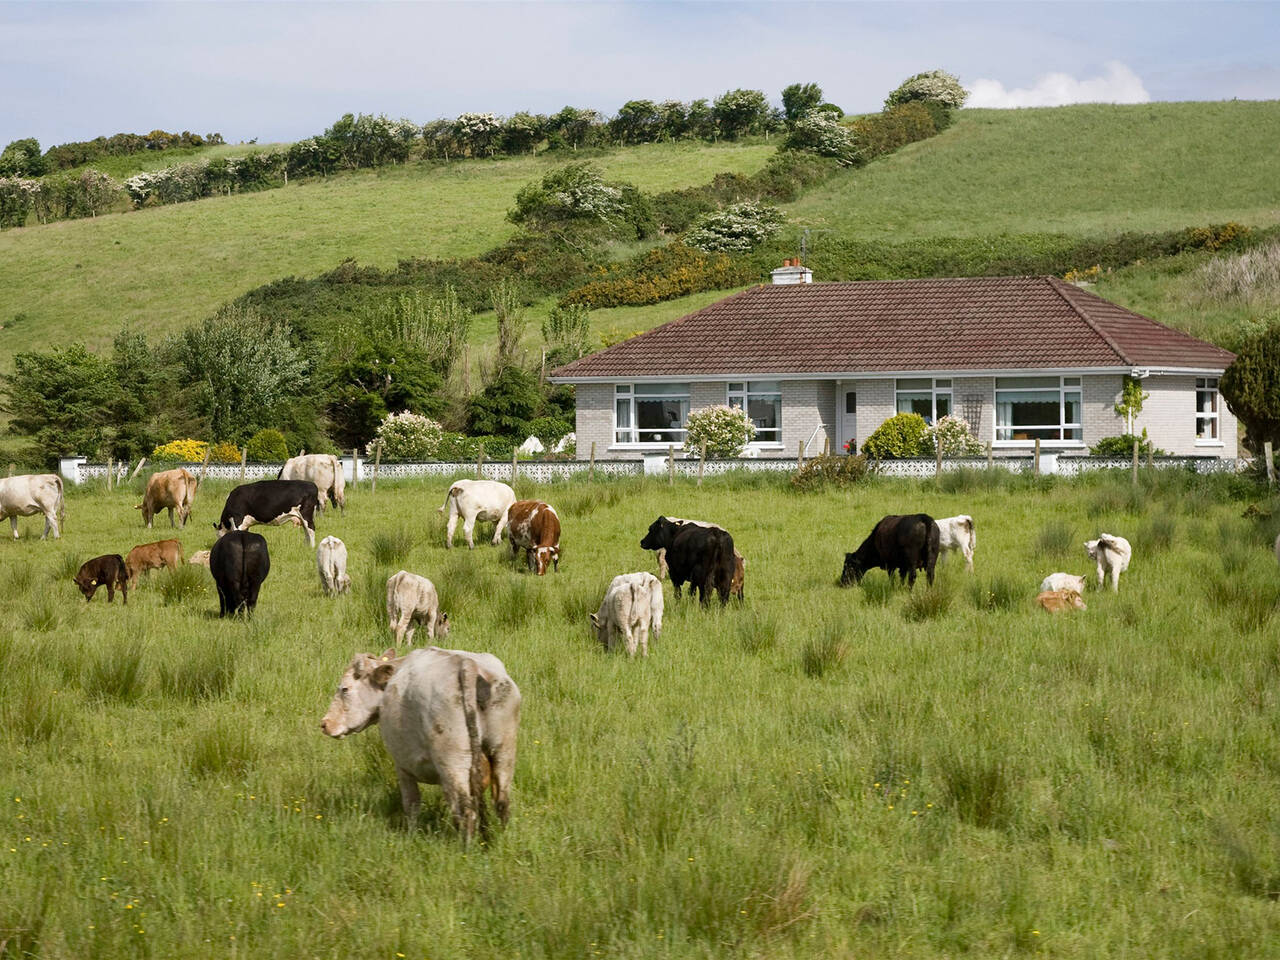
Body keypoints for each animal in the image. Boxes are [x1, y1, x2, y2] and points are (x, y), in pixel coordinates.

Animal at [320, 647, 519, 839]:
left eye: (345, 689)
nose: (325, 723)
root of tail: (467, 664)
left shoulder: (402, 764)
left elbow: (412, 802)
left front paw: (411, 835)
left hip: (452, 761)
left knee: (465, 810)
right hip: (503, 751)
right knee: (501, 803)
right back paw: (497, 841)